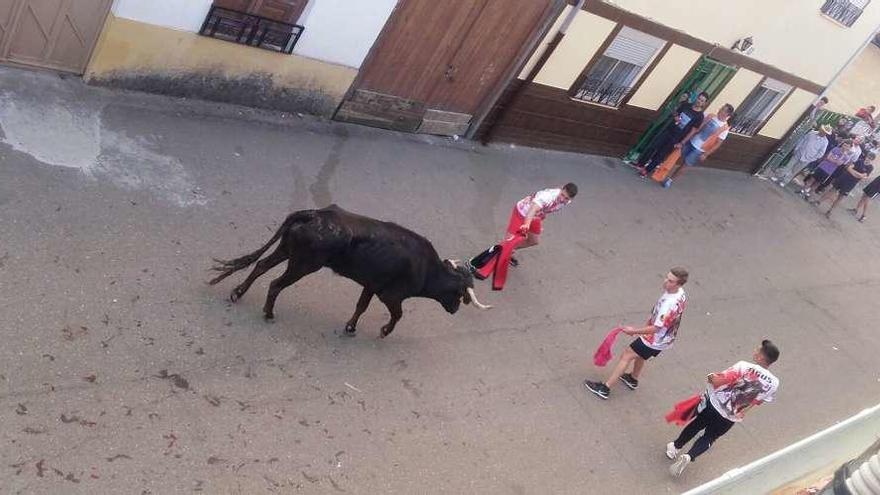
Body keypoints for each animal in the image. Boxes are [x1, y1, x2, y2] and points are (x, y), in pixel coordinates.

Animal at [210, 204, 492, 338]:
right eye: (459, 293)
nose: (455, 310)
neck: (427, 268)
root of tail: (315, 213)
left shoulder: (371, 285)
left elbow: (361, 306)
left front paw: (350, 327)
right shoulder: (390, 295)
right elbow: (398, 315)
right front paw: (384, 331)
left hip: (287, 250)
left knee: (260, 266)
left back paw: (237, 293)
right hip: (303, 264)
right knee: (275, 284)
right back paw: (268, 313)